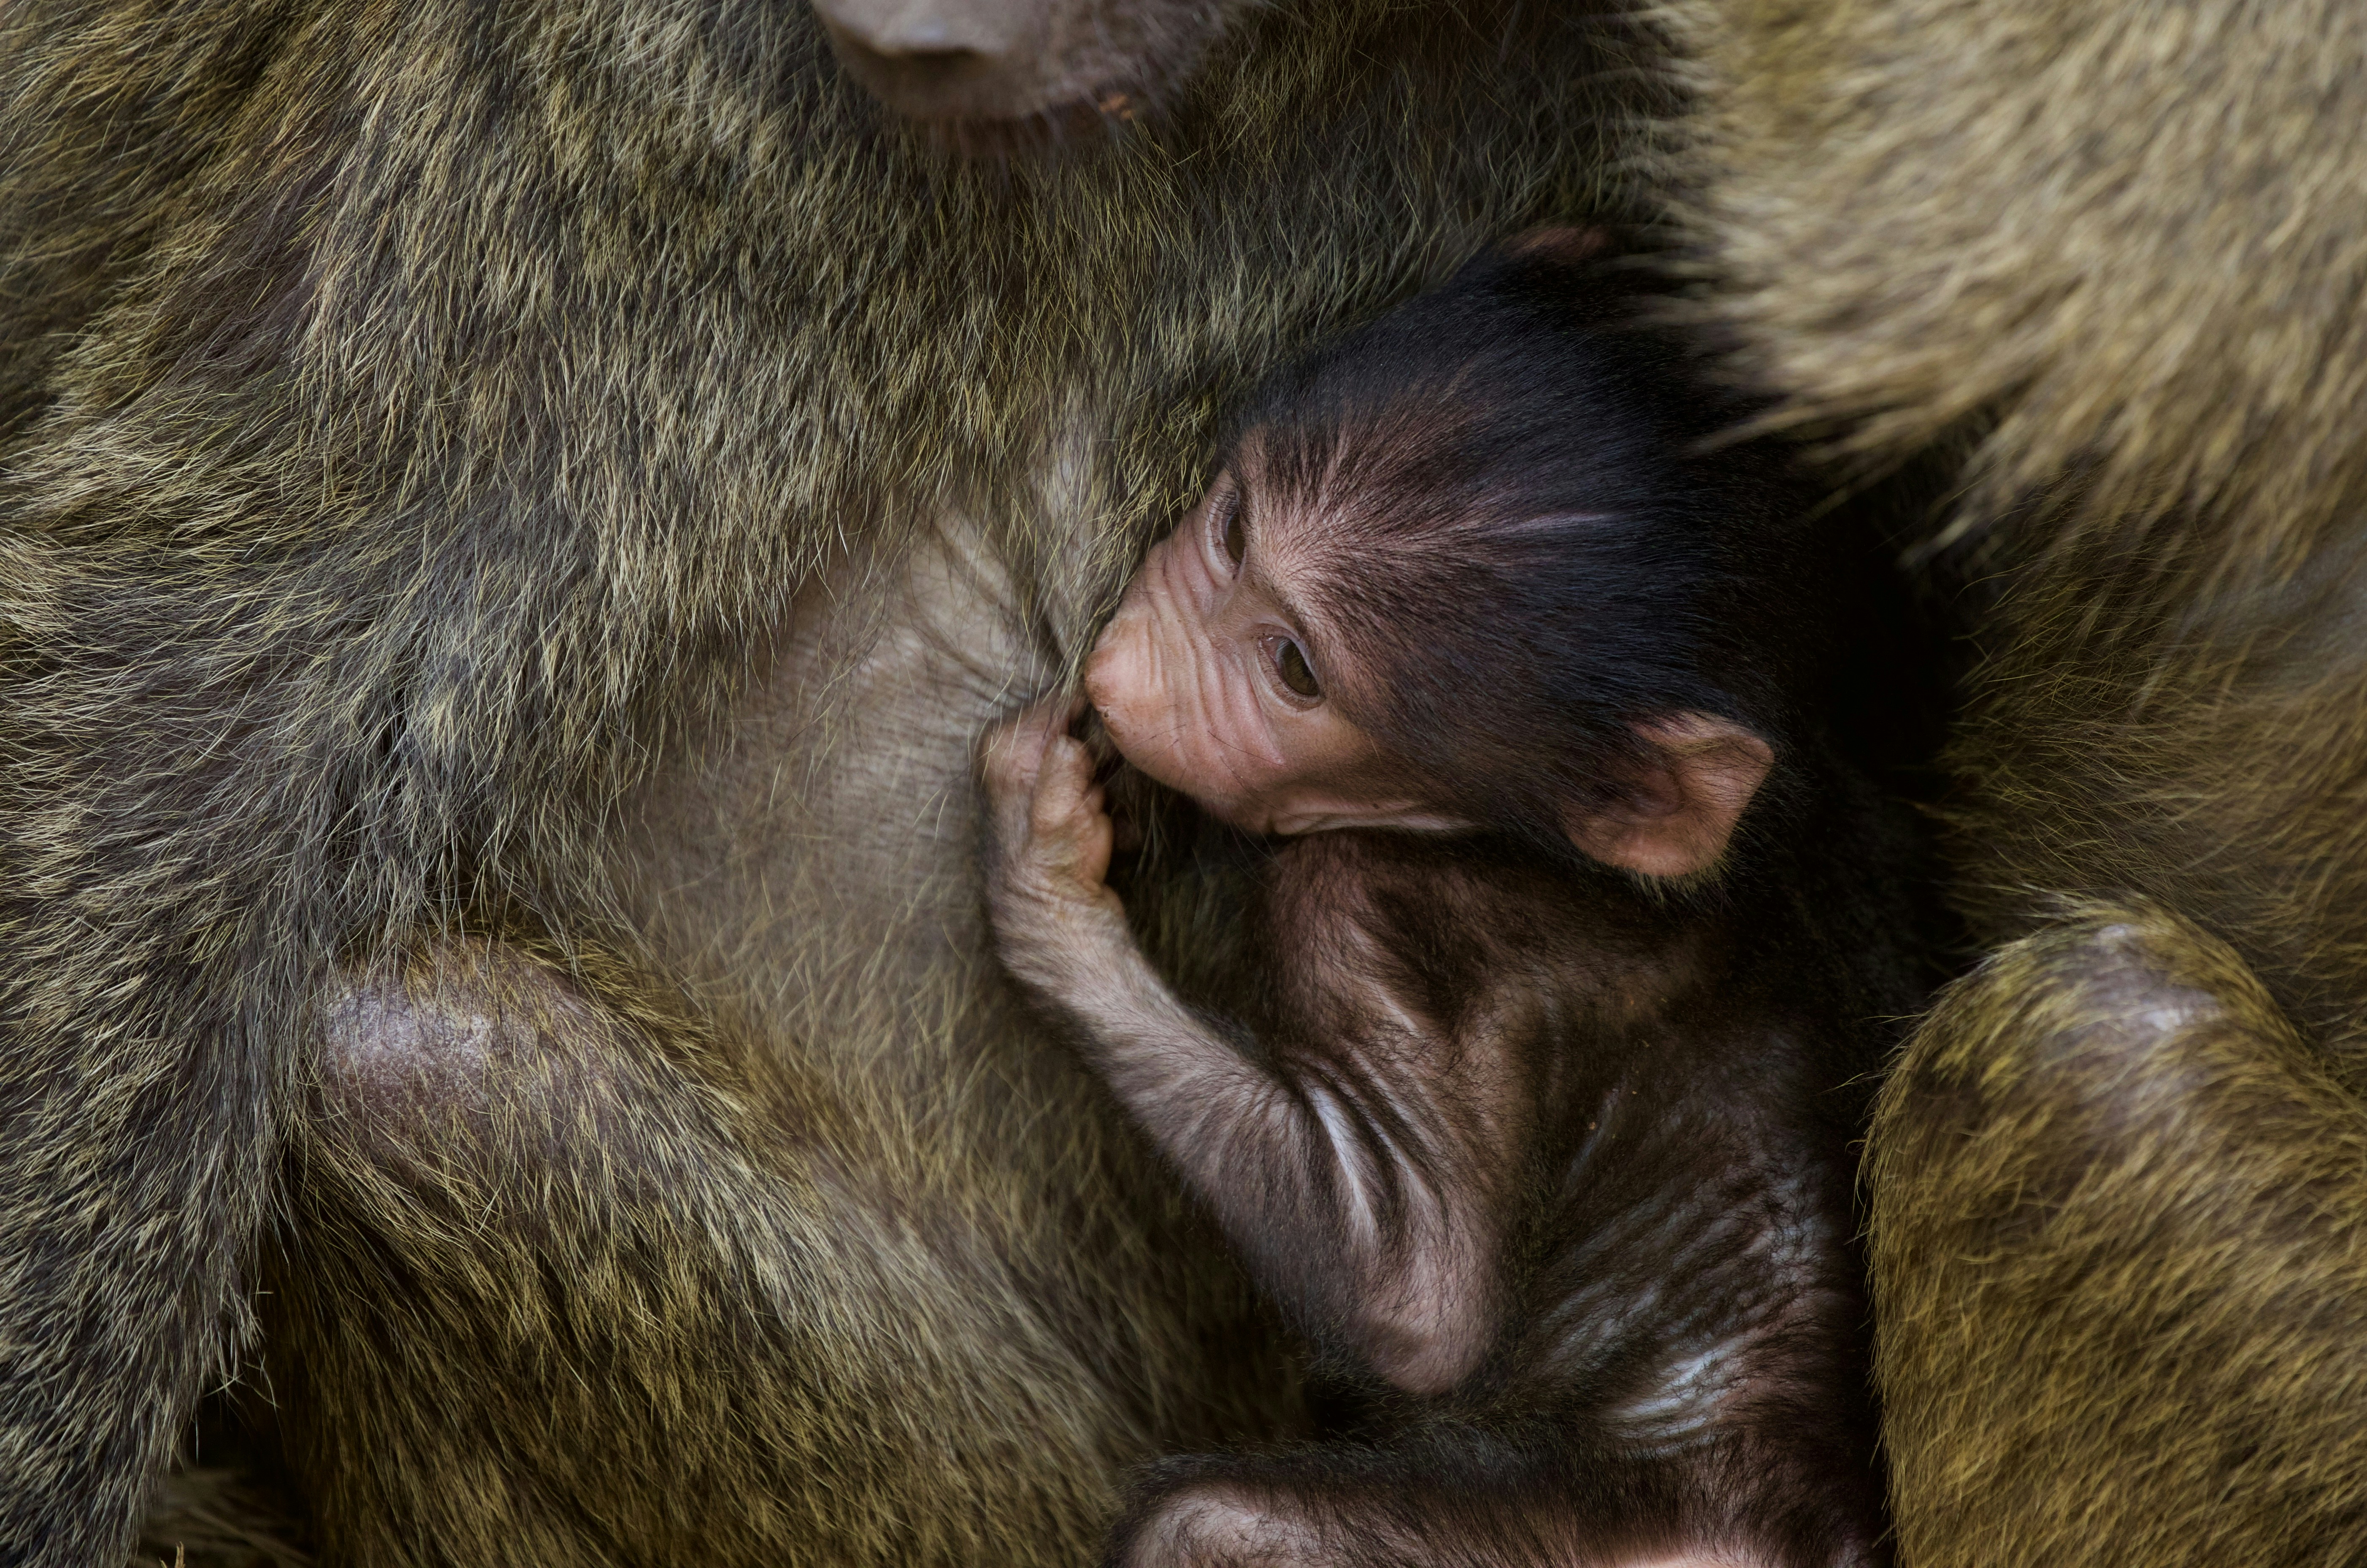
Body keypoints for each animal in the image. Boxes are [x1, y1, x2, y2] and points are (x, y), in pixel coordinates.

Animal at [978, 243, 1927, 1567]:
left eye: (1296, 670)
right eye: (1231, 529)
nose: (1119, 675)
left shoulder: (1367, 901)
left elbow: (1416, 1300)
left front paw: (1044, 875)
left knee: (1210, 1526)